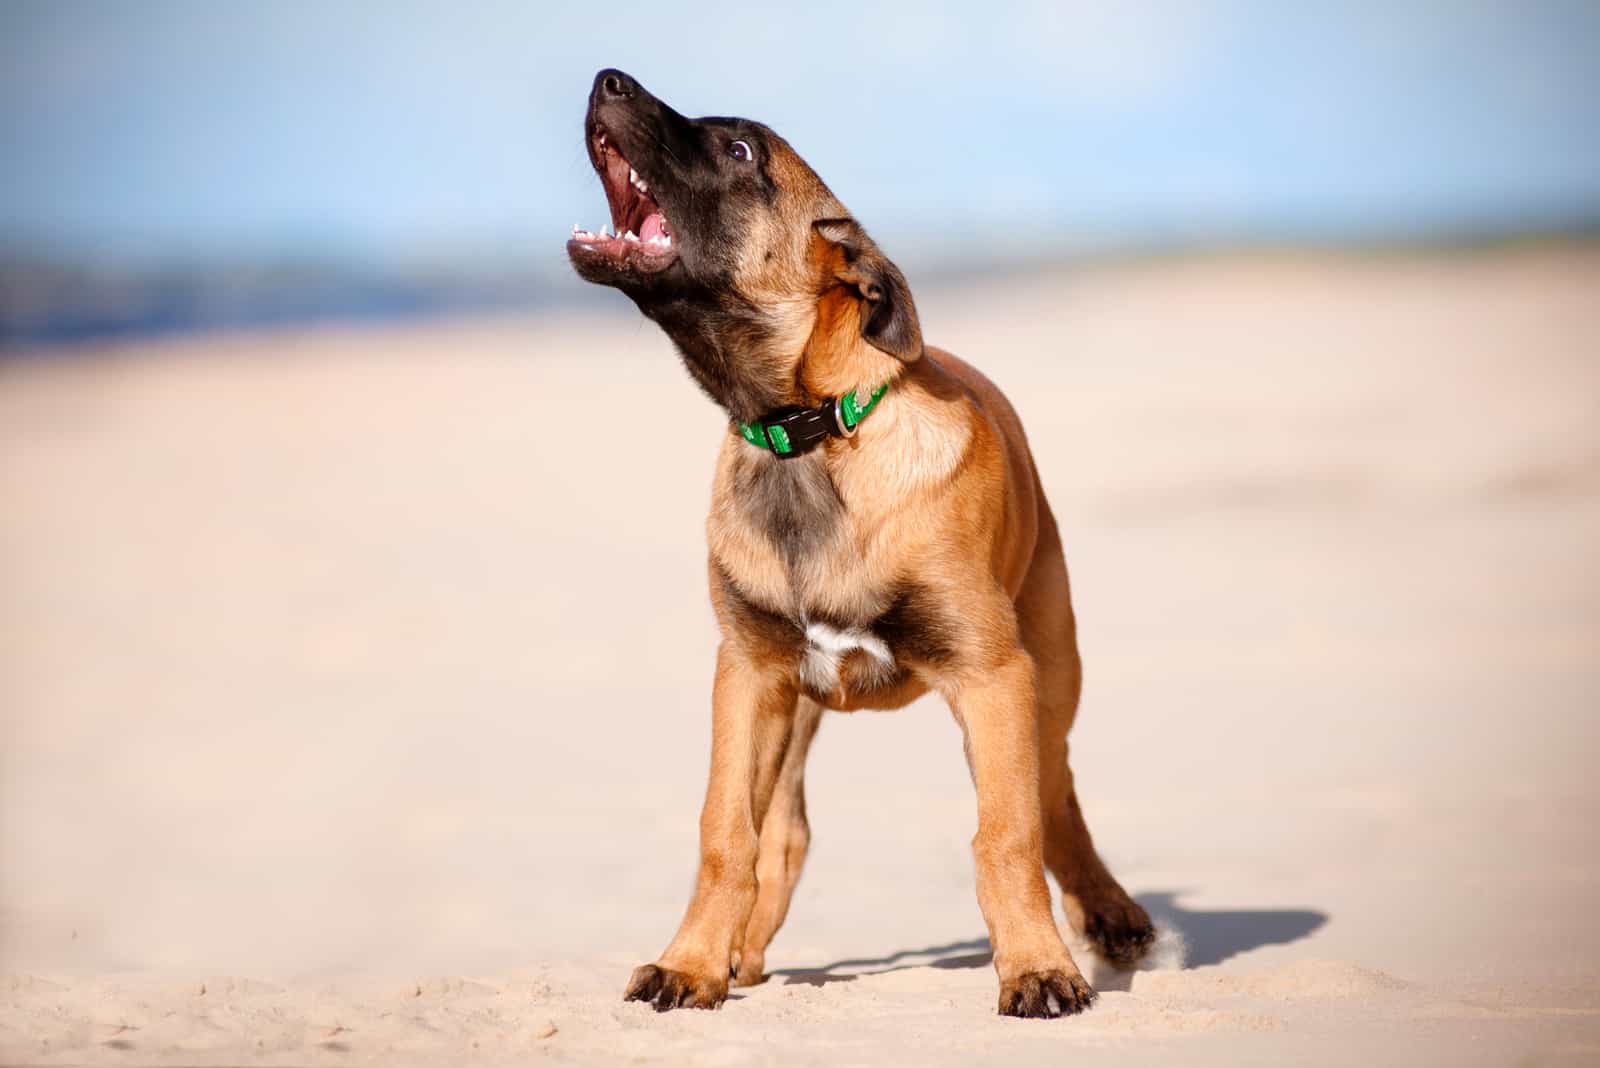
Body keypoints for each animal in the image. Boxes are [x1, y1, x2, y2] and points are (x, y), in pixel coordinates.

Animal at [569, 66, 1158, 1016]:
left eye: (740, 149)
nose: (605, 77)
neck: (808, 436)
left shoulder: (993, 675)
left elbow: (1006, 834)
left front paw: (1036, 966)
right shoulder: (749, 674)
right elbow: (726, 833)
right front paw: (692, 962)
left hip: (1049, 667)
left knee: (1056, 789)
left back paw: (1104, 911)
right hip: (798, 708)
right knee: (787, 830)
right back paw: (743, 952)